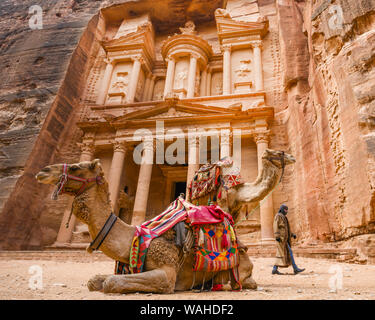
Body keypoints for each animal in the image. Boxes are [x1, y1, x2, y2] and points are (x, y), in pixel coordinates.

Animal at [36, 149, 296, 294]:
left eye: (76, 167)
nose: (43, 171)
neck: (133, 237)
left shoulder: (167, 273)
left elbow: (111, 282)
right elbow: (95, 280)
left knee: (244, 279)